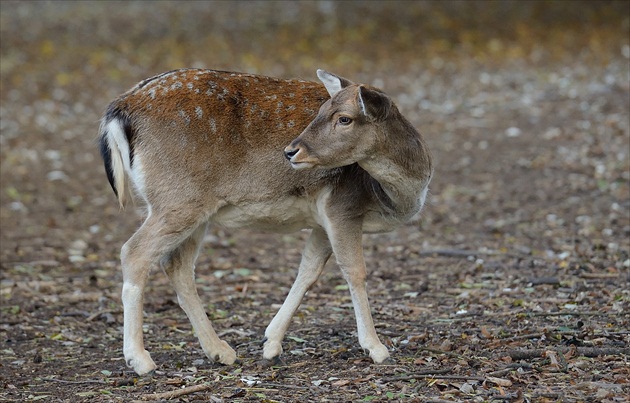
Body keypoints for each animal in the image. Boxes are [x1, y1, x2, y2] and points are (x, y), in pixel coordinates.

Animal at [100, 67, 434, 376]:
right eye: (322, 112)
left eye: (344, 118)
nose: (291, 150)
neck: (400, 195)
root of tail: (120, 108)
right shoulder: (343, 205)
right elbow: (355, 272)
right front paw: (376, 348)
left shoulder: (322, 220)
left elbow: (308, 270)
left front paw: (270, 343)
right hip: (178, 199)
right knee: (134, 252)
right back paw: (140, 360)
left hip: (187, 207)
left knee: (176, 264)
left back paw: (220, 351)